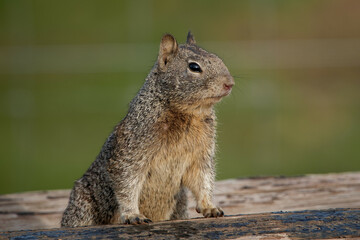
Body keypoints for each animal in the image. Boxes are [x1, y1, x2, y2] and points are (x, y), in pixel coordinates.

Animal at [60, 31, 235, 227]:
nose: (230, 83)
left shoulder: (201, 154)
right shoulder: (131, 151)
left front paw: (210, 207)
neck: (188, 114)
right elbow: (126, 182)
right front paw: (132, 215)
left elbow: (202, 179)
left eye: (218, 58)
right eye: (194, 67)